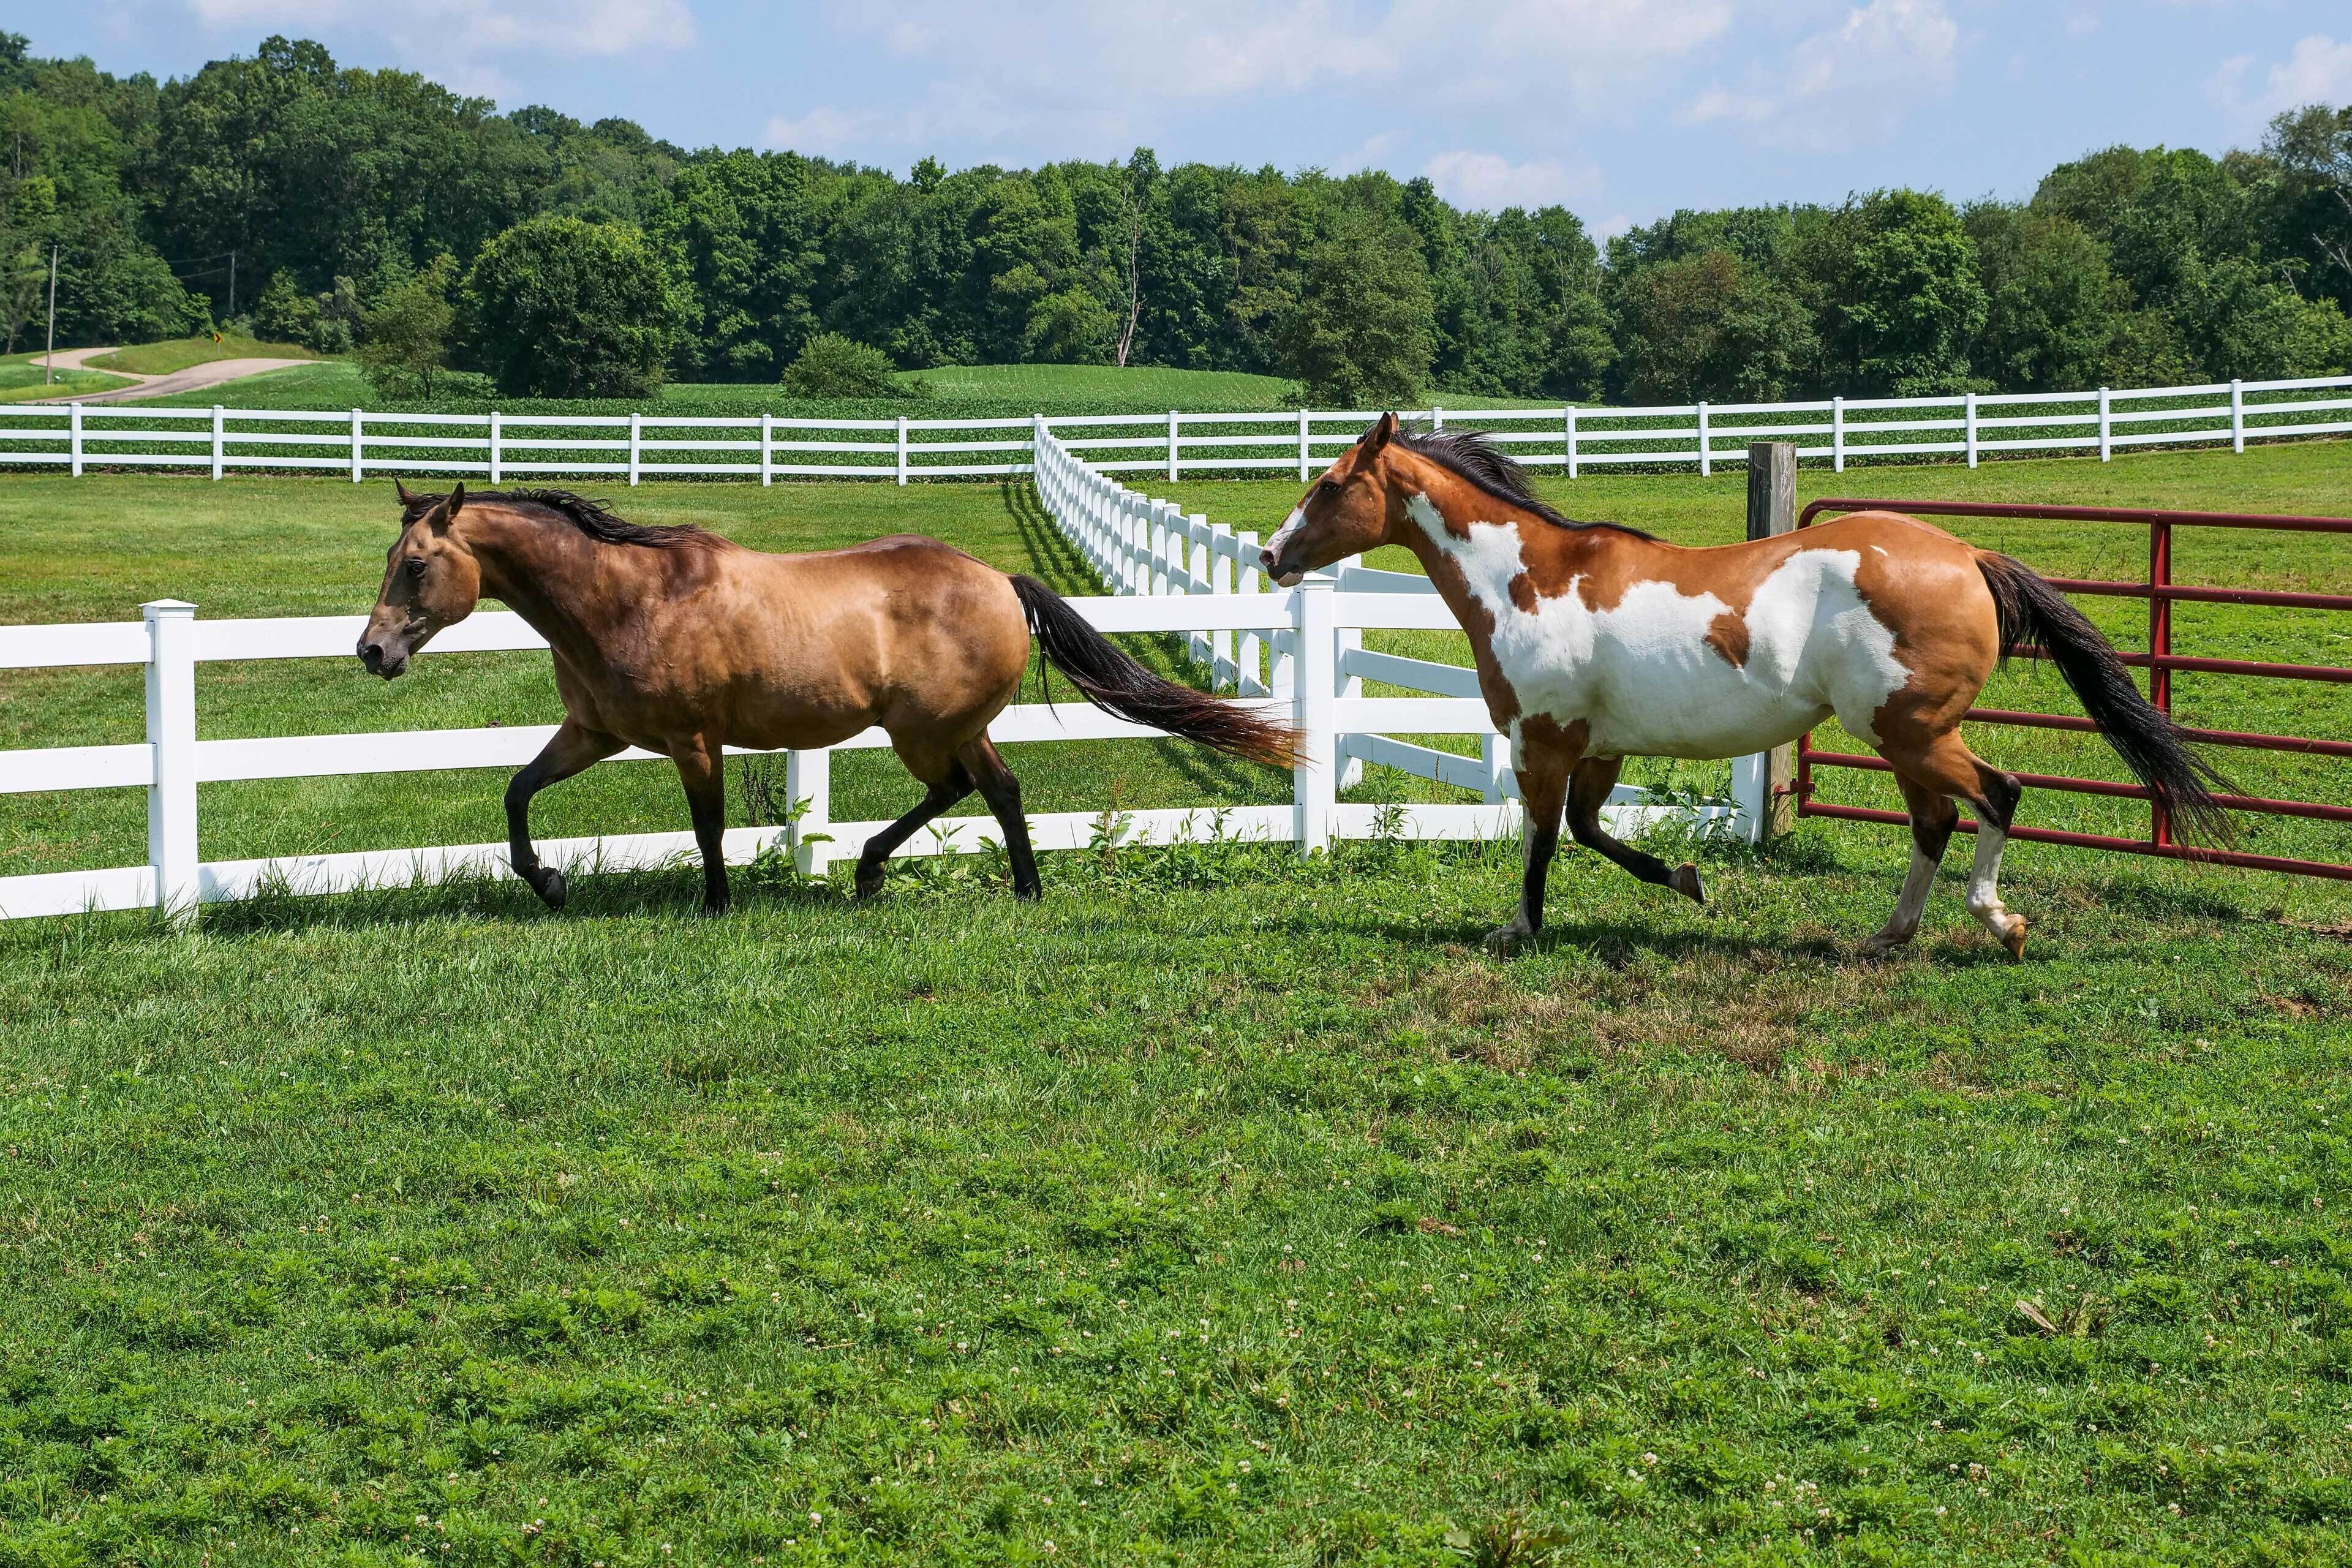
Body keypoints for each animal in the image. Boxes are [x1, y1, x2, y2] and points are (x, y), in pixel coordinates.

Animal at [357, 483, 1296, 913]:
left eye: (416, 565)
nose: (372, 651)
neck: (629, 599)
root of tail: (1000, 579)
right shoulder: (594, 733)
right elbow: (517, 792)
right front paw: (547, 883)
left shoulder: (693, 741)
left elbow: (708, 827)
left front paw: (715, 904)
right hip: (955, 729)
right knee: (999, 790)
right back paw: (1014, 889)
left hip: (926, 730)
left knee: (964, 789)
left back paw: (877, 871)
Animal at [1259, 414, 2230, 957]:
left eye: (1331, 484)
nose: (1271, 555)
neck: (1526, 578)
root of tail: (1967, 554)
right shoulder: (1599, 748)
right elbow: (1592, 830)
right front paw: (1689, 880)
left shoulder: (1543, 739)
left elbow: (1542, 840)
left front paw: (1520, 930)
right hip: (1904, 740)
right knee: (1936, 822)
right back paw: (1890, 935)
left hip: (1913, 731)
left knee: (1998, 795)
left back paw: (2000, 924)